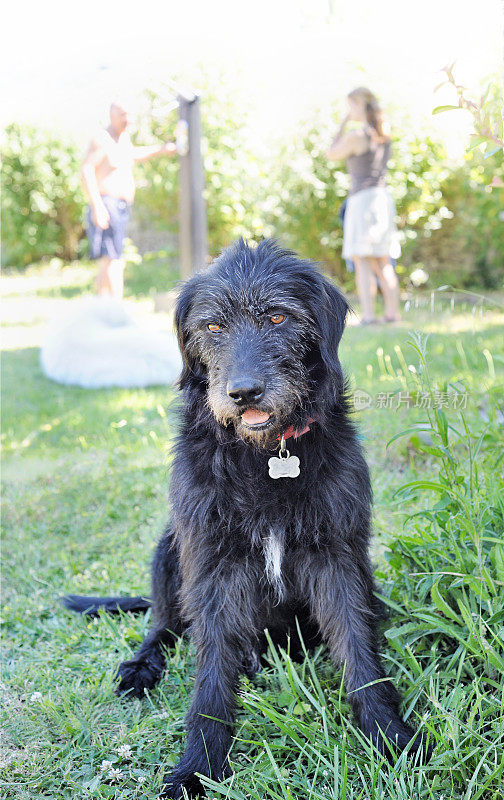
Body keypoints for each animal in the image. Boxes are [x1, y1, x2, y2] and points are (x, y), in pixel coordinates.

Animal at [65, 238, 430, 800]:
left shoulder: (339, 555)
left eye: (278, 316)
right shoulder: (213, 563)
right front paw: (197, 766)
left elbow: (359, 650)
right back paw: (142, 666)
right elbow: (211, 671)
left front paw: (389, 736)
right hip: (169, 547)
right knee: (164, 625)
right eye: (213, 326)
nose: (243, 392)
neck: (266, 455)